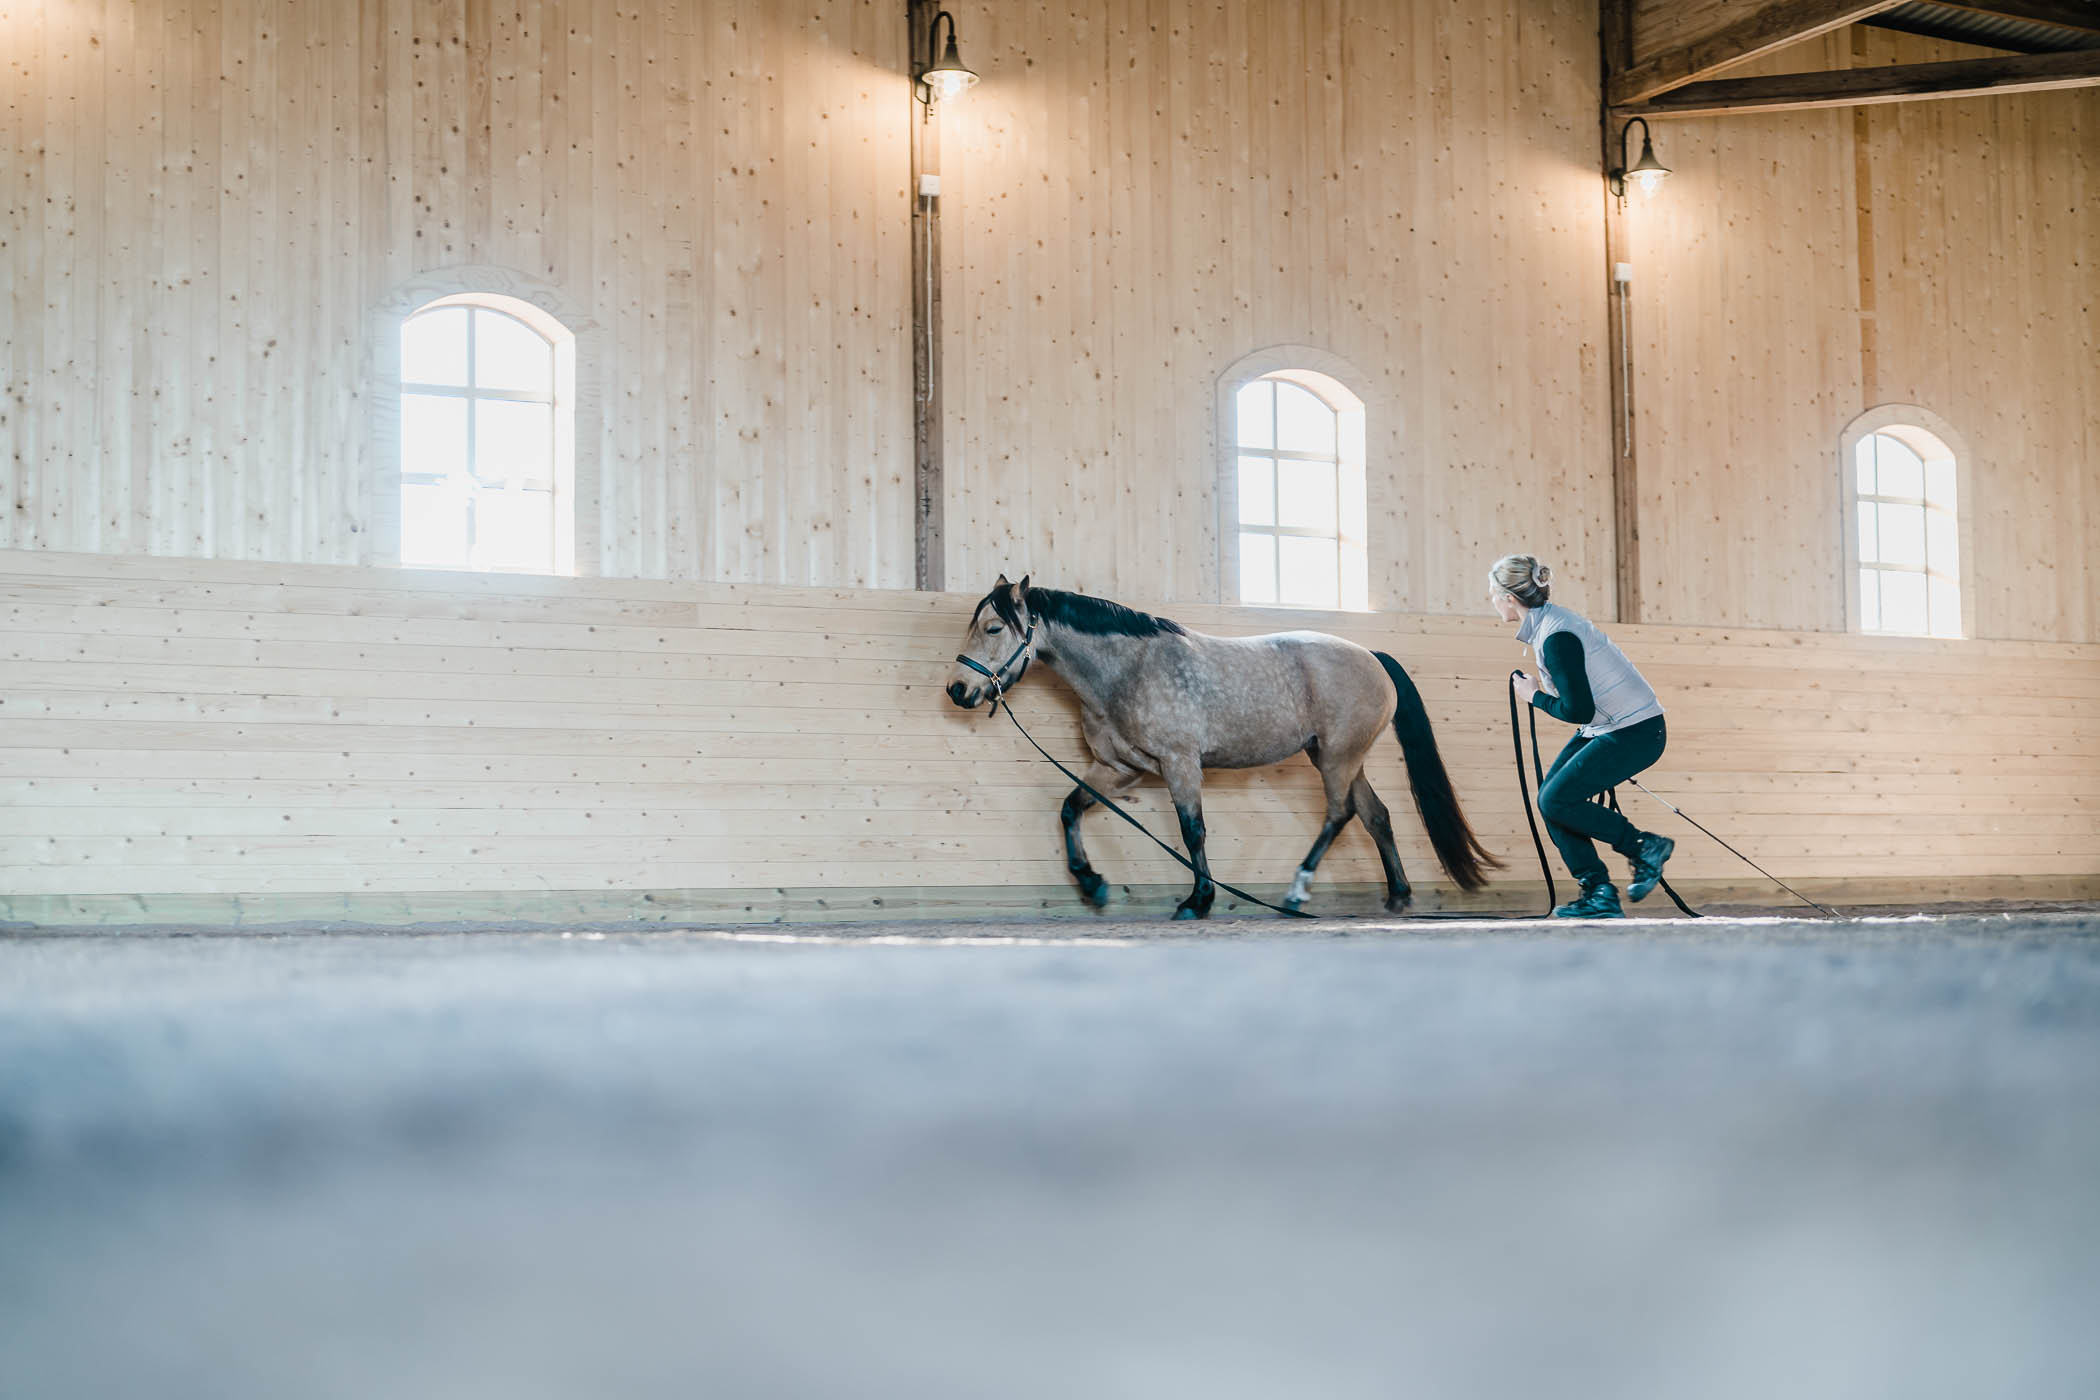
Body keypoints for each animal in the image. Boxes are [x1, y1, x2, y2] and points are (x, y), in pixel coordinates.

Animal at [946, 575, 1501, 919]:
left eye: (993, 627)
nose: (958, 689)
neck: (1127, 671)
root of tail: (1373, 656)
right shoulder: (1117, 767)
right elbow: (1069, 808)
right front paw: (1092, 883)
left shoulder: (1180, 764)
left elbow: (1192, 832)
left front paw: (1198, 900)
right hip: (1335, 755)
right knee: (1376, 815)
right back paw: (1397, 897)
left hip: (1338, 758)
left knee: (1340, 813)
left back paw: (1297, 891)